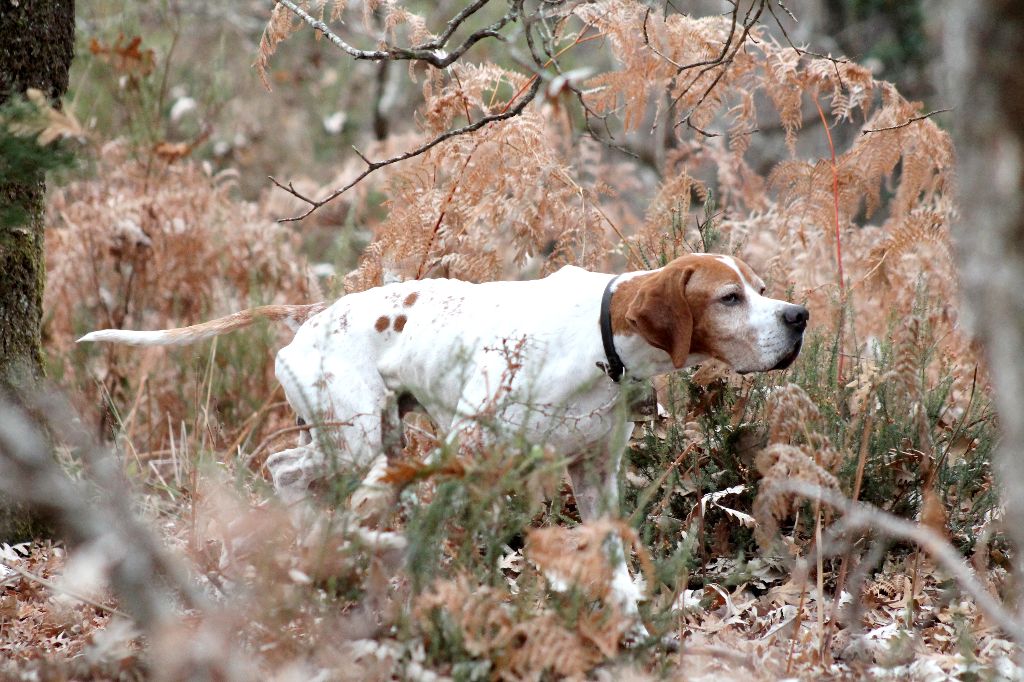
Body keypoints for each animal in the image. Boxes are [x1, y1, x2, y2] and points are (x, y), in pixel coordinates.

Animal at [79, 253, 806, 614]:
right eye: (730, 298)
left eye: (761, 289)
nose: (798, 315)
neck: (601, 340)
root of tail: (314, 314)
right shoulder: (472, 456)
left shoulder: (594, 472)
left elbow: (611, 556)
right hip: (362, 446)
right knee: (302, 480)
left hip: (370, 441)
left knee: (288, 470)